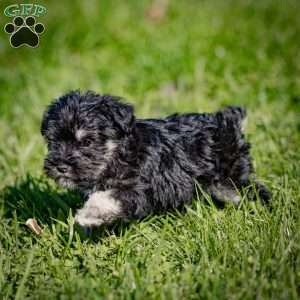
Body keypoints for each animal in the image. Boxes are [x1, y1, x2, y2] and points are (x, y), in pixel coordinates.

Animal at [41, 91, 270, 227]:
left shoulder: (141, 189)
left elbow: (110, 197)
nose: (60, 166)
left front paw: (88, 215)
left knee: (253, 191)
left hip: (230, 178)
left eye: (87, 141)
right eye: (53, 141)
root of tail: (229, 123)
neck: (118, 154)